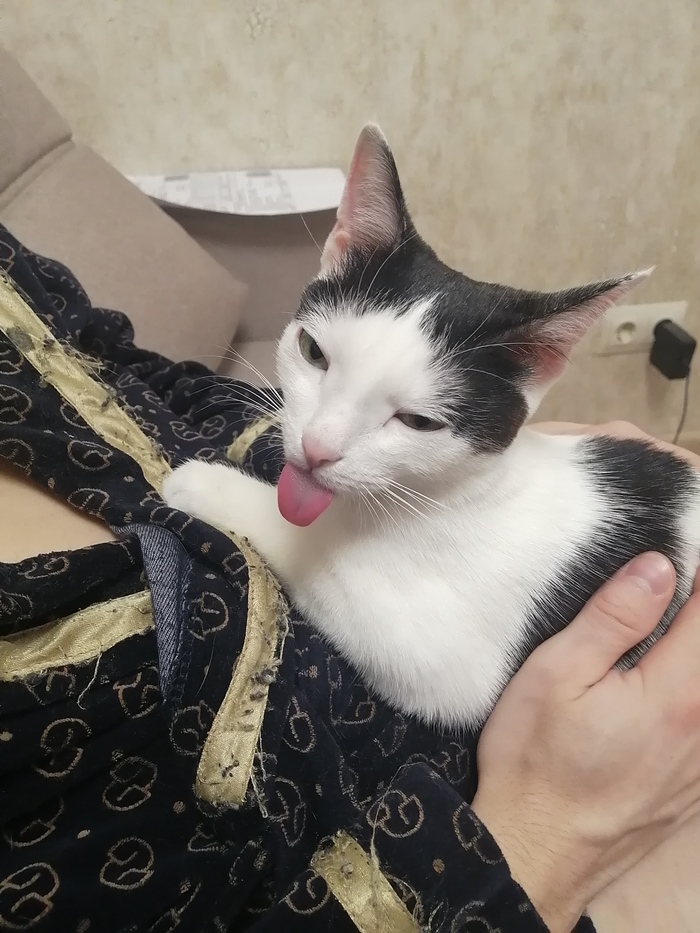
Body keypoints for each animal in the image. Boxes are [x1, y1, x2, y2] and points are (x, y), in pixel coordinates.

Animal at [163, 124, 700, 730]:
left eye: (419, 422)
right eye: (313, 352)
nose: (317, 448)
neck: (461, 490)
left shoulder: (448, 666)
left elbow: (310, 548)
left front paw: (209, 486)